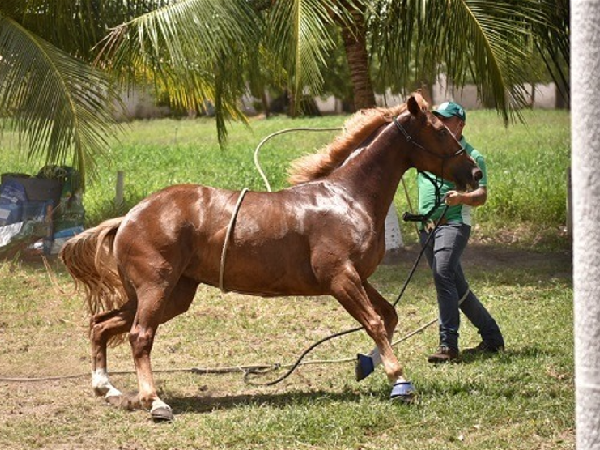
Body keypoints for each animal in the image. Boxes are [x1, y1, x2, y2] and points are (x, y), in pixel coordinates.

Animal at [61, 95, 482, 422]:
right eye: (440, 131)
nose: (475, 171)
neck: (347, 198)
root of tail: (129, 216)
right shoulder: (340, 278)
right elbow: (376, 322)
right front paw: (400, 381)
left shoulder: (359, 277)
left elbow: (389, 317)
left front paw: (365, 365)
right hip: (156, 288)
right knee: (139, 335)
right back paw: (154, 402)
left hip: (172, 294)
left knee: (102, 324)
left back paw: (108, 389)